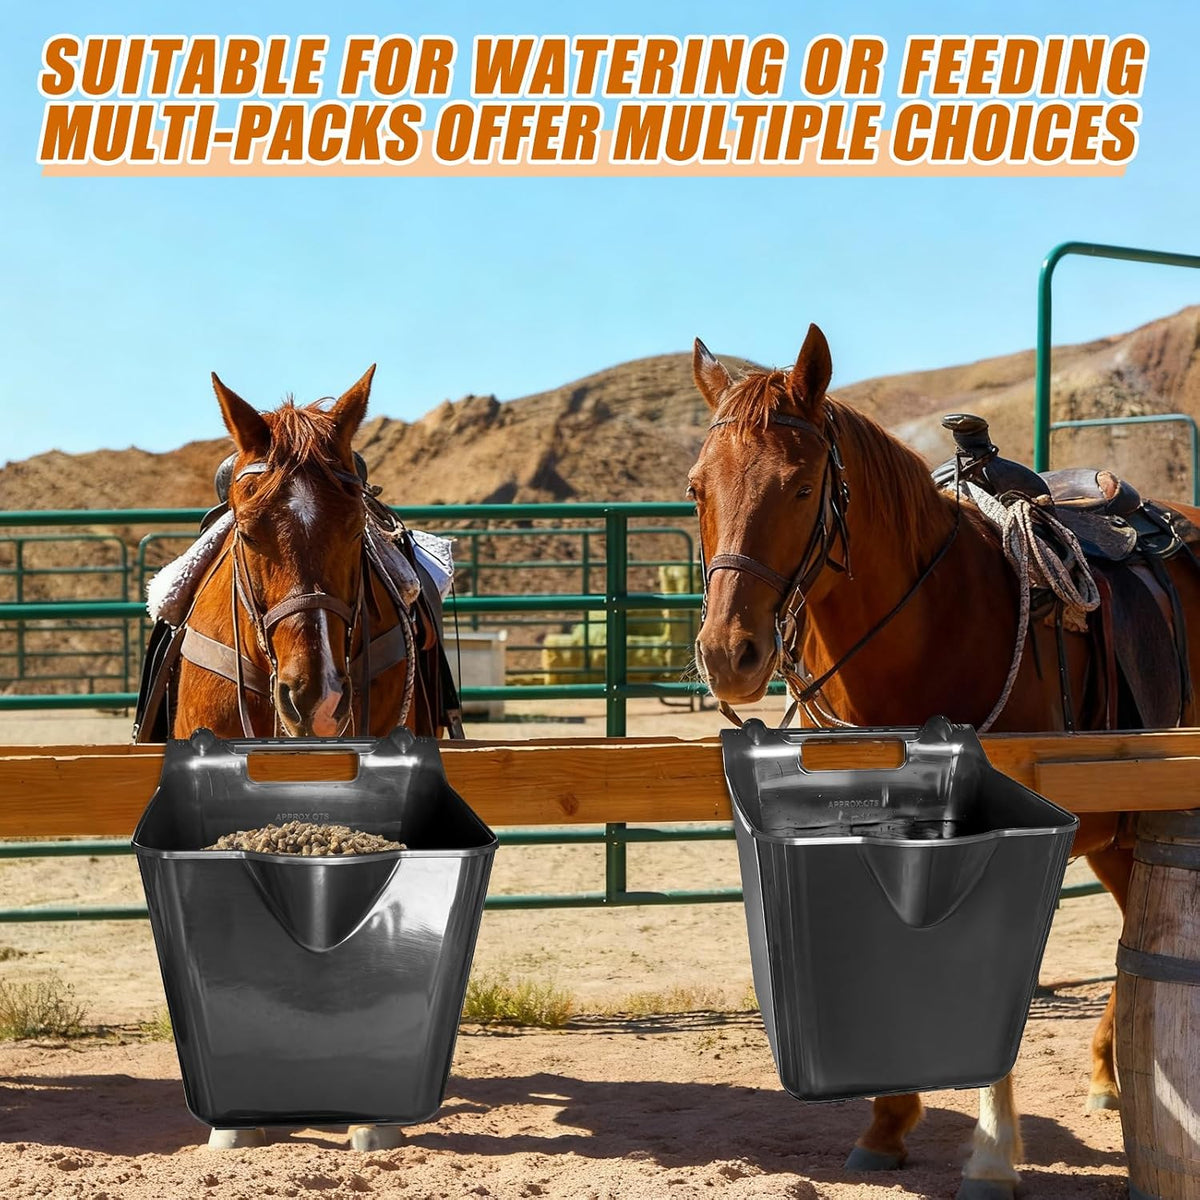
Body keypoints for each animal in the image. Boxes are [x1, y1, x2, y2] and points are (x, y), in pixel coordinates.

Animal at [687, 324, 1200, 1199]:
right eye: (696, 489)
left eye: (801, 487)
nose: (729, 653)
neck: (932, 618)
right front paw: (888, 1122)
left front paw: (992, 1156)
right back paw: (1107, 1073)